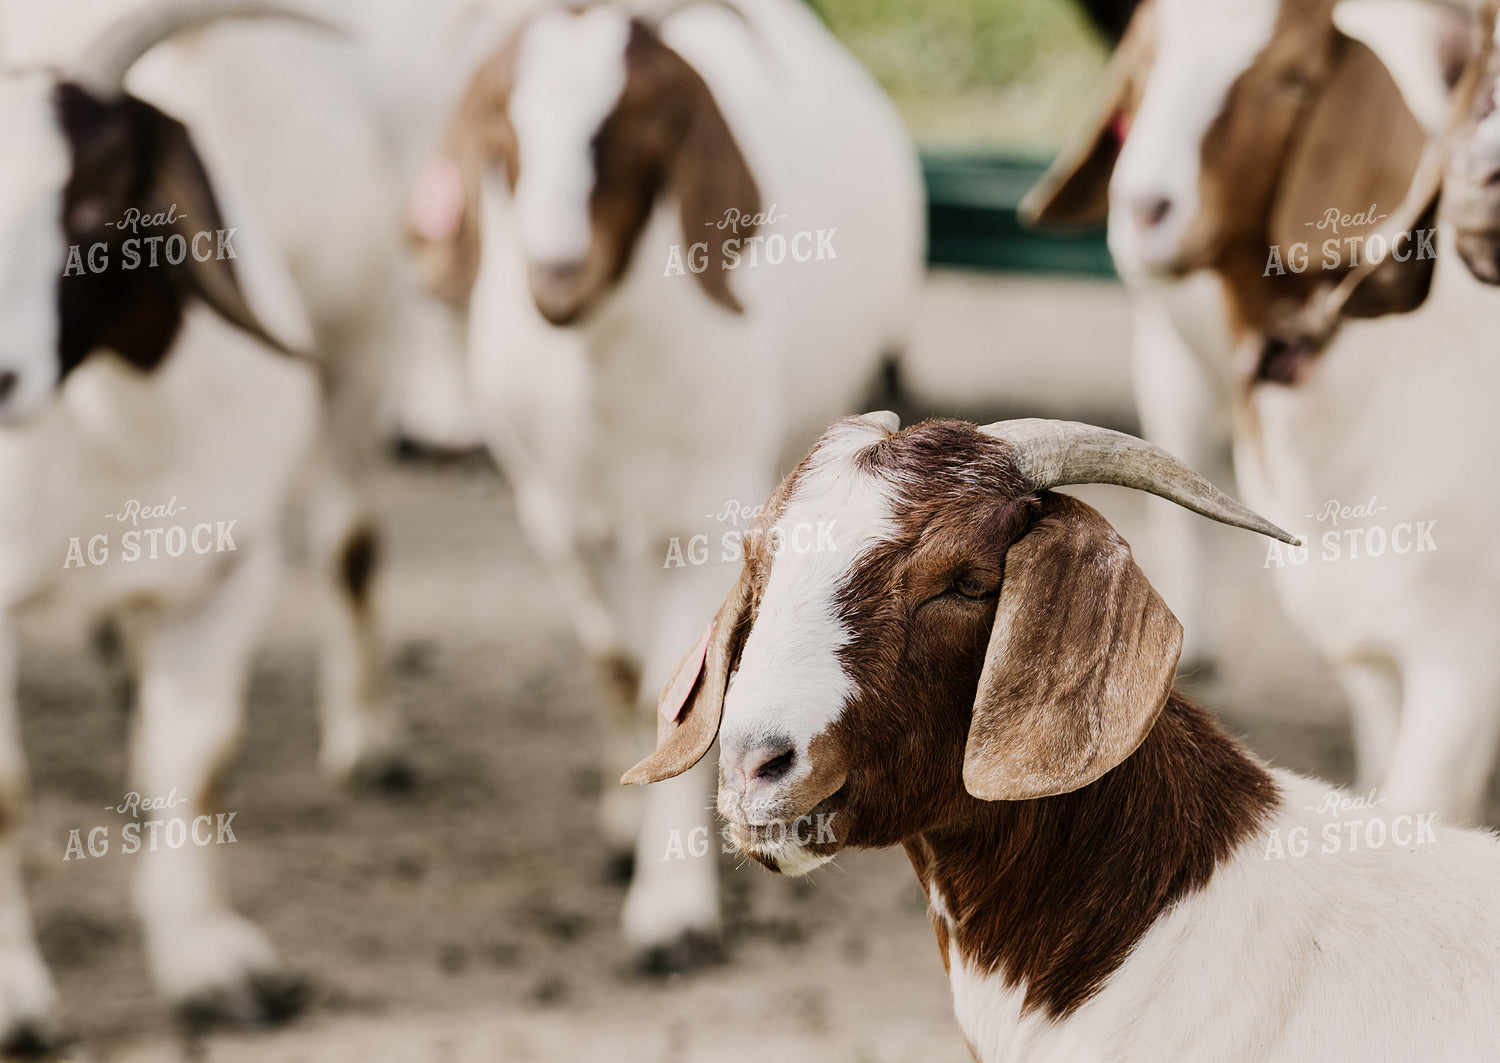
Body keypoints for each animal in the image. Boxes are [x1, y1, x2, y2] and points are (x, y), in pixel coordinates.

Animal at [0, 0, 405, 1041]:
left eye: (97, 199)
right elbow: (8, 791)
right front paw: (16, 995)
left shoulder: (229, 570)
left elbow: (199, 759)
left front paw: (211, 967)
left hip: (357, 342)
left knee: (351, 542)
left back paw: (371, 741)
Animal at [410, 0, 925, 963]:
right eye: (505, 129)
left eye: (643, 123)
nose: (556, 275)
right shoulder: (556, 512)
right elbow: (618, 661)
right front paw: (629, 830)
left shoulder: (706, 515)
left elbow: (686, 675)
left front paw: (672, 910)